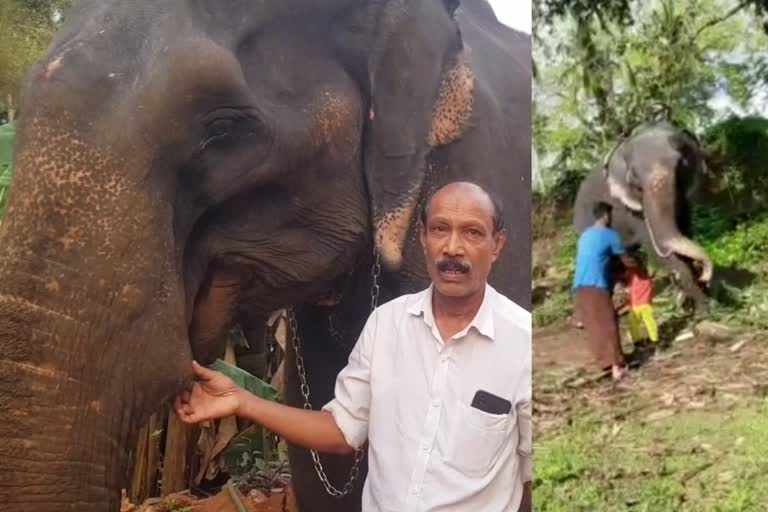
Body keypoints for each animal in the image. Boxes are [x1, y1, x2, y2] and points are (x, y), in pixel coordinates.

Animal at [572, 122, 712, 310]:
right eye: (634, 180)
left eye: (681, 164)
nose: (705, 275)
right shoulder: (628, 208)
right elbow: (653, 246)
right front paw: (706, 309)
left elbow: (685, 230)